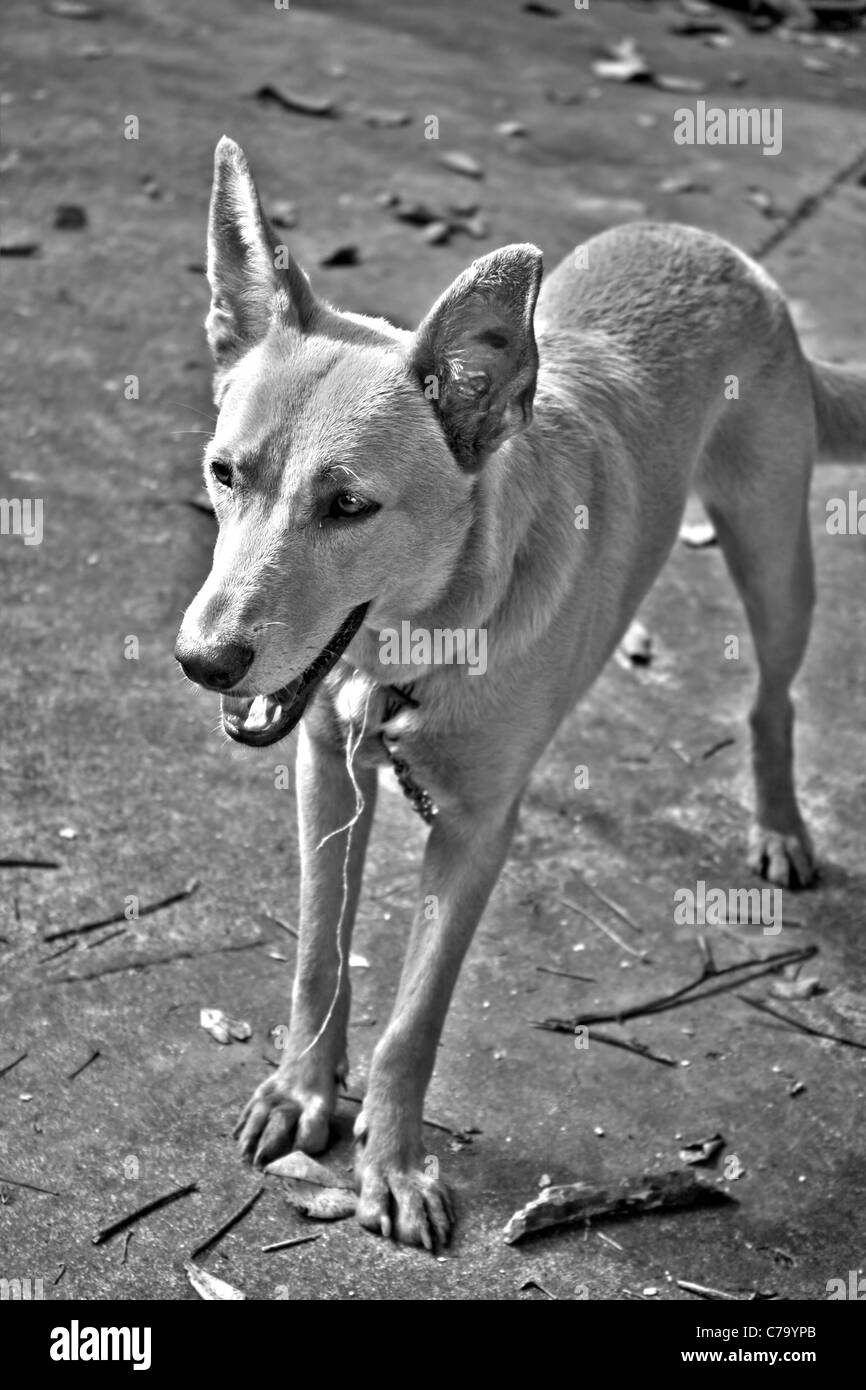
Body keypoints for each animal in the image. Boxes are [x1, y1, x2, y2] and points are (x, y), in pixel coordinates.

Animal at [177, 135, 866, 1256]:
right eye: (224, 473)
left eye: (348, 505)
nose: (204, 661)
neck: (415, 642)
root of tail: (723, 253)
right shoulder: (329, 771)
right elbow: (320, 955)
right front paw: (303, 1090)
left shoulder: (471, 834)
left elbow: (414, 1019)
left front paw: (393, 1164)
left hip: (774, 559)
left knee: (773, 698)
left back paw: (779, 824)